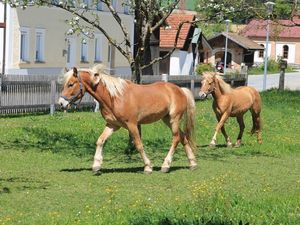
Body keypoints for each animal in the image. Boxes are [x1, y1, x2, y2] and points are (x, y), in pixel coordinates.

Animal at [58, 64, 197, 173]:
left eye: (70, 84)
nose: (61, 103)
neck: (114, 97)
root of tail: (180, 89)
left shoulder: (132, 125)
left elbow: (138, 144)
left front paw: (148, 166)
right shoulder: (112, 125)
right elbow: (100, 141)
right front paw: (96, 165)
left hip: (174, 119)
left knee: (176, 138)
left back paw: (166, 165)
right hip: (167, 119)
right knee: (183, 137)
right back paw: (192, 163)